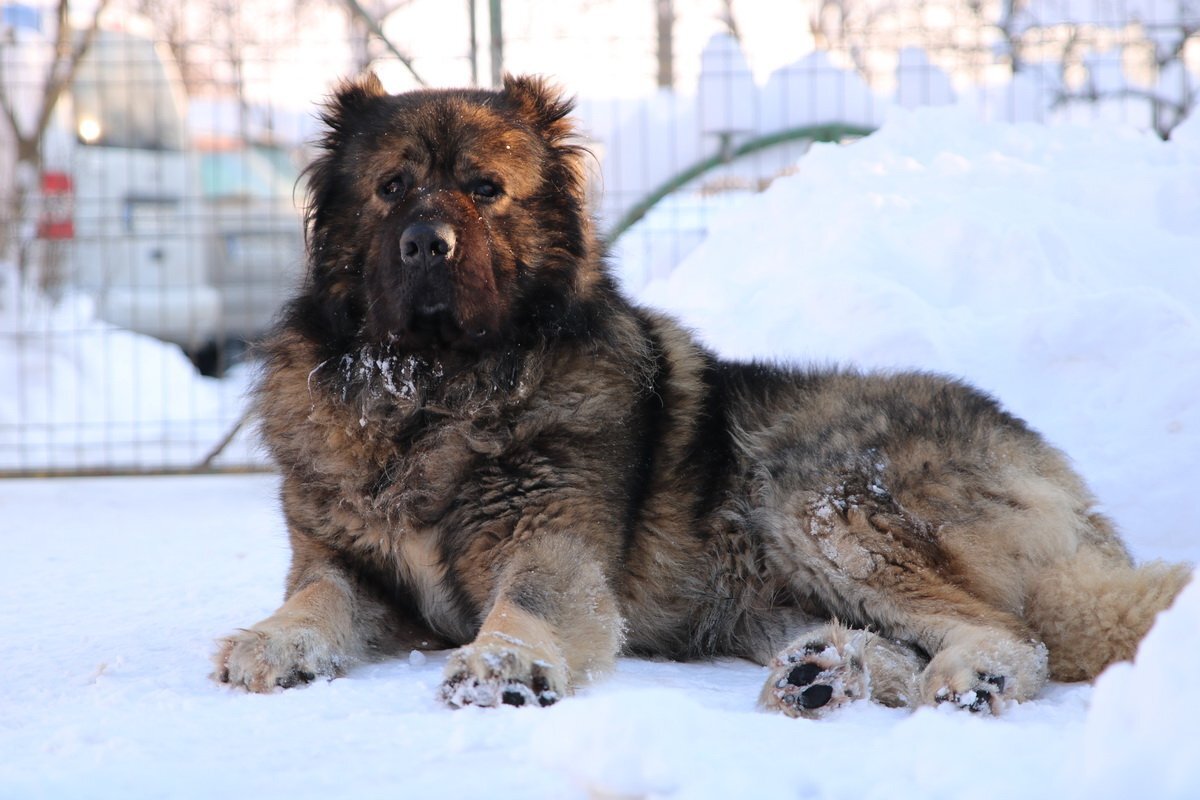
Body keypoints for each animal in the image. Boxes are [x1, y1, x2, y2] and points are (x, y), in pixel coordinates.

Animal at [213, 71, 1190, 714]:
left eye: (486, 190)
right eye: (392, 188)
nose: (427, 244)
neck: (432, 396)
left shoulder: (551, 547)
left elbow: (530, 604)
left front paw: (504, 666)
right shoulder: (343, 561)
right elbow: (314, 599)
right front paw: (270, 639)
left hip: (819, 499)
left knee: (1012, 633)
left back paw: (962, 676)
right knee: (903, 641)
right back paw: (826, 673)